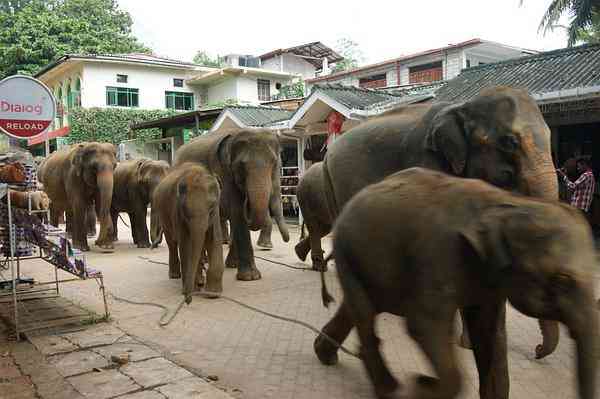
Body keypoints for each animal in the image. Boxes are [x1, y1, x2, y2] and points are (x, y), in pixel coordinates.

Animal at [151, 162, 224, 304]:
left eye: (211, 208)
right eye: (186, 210)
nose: (187, 300)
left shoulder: (216, 214)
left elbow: (214, 239)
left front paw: (213, 293)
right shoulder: (177, 212)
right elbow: (186, 243)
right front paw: (191, 289)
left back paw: (200, 281)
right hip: (164, 215)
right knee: (172, 243)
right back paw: (175, 275)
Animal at [173, 130, 290, 282]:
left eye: (274, 163)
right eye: (241, 166)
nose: (287, 240)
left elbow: (237, 217)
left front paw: (235, 267)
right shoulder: (225, 175)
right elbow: (238, 213)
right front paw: (250, 277)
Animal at [314, 87, 564, 368]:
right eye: (509, 142)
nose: (537, 351)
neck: (463, 107)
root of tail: (327, 155)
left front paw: (468, 343)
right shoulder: (428, 164)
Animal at [316, 168, 596, 399]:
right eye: (562, 280)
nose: (537, 351)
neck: (504, 204)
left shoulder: (488, 279)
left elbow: (485, 331)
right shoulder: (437, 254)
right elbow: (423, 325)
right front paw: (420, 385)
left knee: (361, 306)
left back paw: (328, 356)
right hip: (346, 251)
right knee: (364, 314)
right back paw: (390, 389)